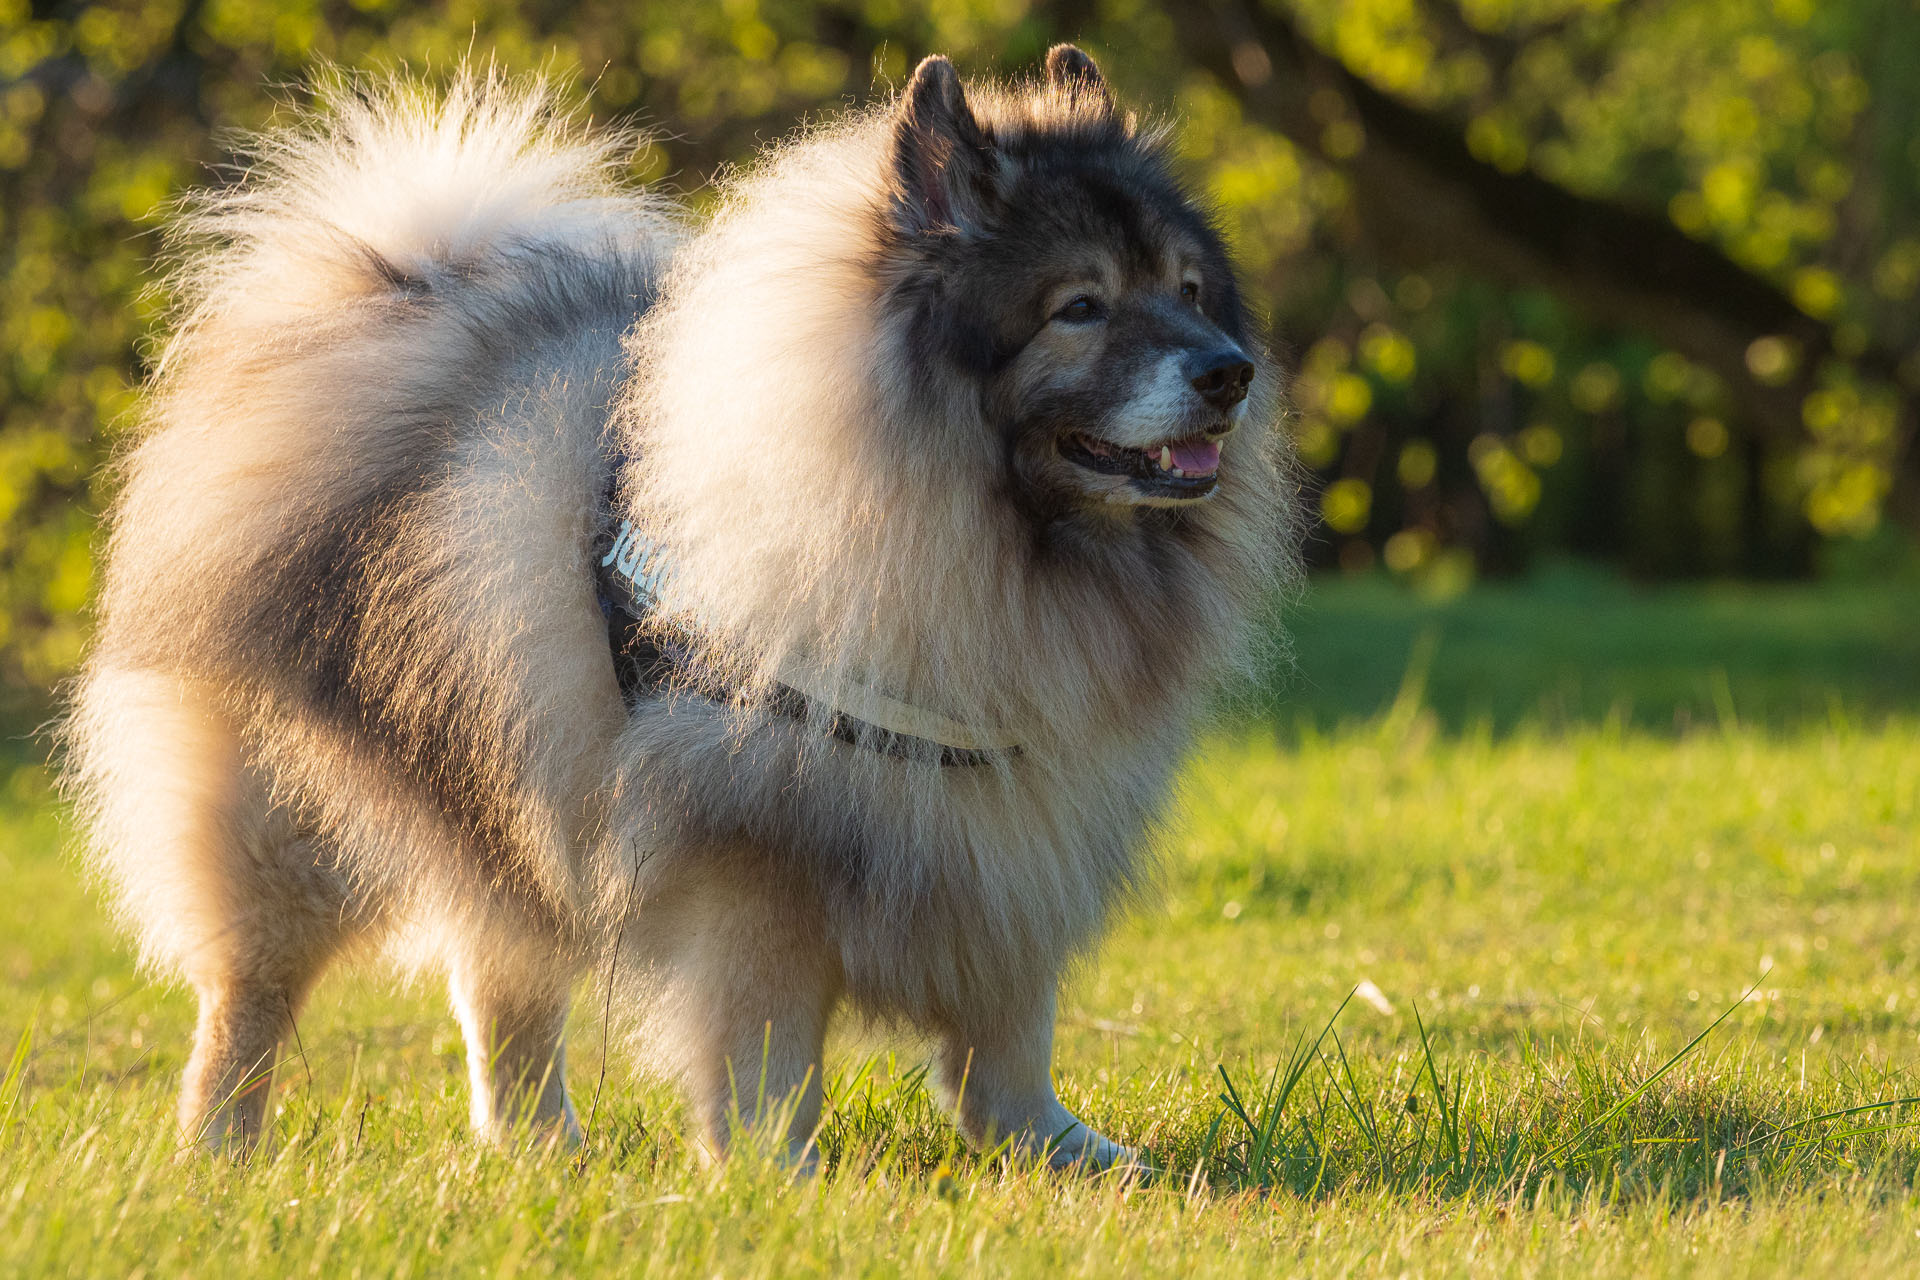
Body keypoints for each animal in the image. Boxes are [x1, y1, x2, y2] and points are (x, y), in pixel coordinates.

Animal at [63, 47, 1290, 1174]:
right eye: (1080, 308)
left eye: (1188, 290)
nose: (1230, 370)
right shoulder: (757, 863)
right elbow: (767, 1049)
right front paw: (775, 1178)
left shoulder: (1012, 830)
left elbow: (1009, 1035)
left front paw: (1061, 1150)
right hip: (293, 827)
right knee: (248, 1001)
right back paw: (218, 1153)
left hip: (507, 780)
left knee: (502, 984)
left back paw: (541, 1150)